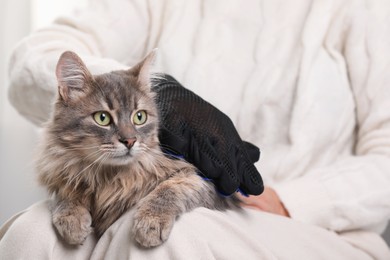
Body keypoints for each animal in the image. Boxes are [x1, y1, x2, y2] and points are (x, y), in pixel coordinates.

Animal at [35, 50, 238, 248]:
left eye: (139, 117)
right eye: (102, 118)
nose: (130, 141)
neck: (110, 177)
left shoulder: (203, 181)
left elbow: (170, 188)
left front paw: (151, 222)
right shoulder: (63, 170)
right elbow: (65, 192)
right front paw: (72, 219)